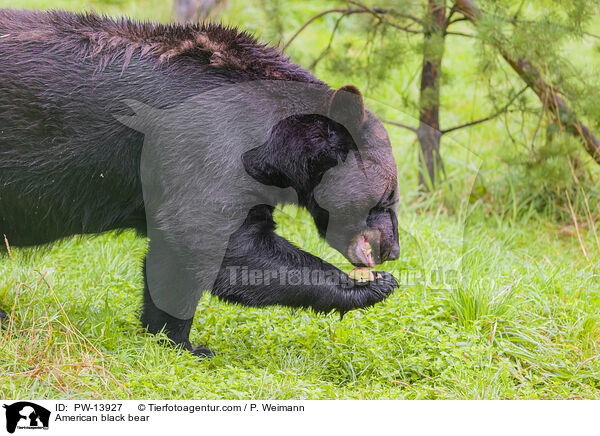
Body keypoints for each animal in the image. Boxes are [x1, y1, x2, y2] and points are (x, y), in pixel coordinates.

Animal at [1, 9, 404, 358]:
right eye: (388, 197)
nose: (393, 250)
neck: (273, 138)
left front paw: (173, 339)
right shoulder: (208, 143)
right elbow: (211, 238)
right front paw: (369, 284)